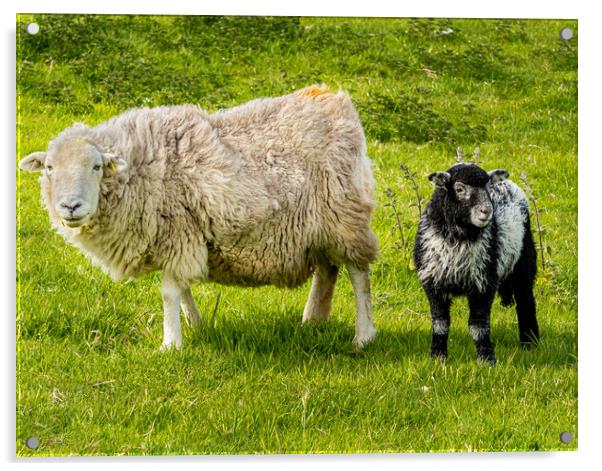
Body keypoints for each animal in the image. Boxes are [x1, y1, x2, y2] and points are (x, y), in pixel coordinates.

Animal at [21, 85, 378, 350]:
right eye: (49, 168)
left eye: (96, 166)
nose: (70, 206)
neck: (140, 165)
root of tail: (334, 98)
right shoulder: (176, 239)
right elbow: (181, 291)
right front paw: (195, 326)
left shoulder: (179, 232)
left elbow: (169, 291)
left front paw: (171, 344)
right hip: (319, 227)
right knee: (327, 270)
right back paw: (312, 320)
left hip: (345, 213)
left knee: (358, 274)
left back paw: (363, 337)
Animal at [412, 163, 540, 366]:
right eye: (459, 189)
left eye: (487, 187)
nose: (486, 211)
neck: (460, 239)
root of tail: (509, 183)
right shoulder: (433, 283)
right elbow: (440, 324)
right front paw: (438, 357)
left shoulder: (483, 284)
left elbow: (478, 326)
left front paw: (486, 360)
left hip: (524, 260)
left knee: (525, 301)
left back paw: (530, 343)